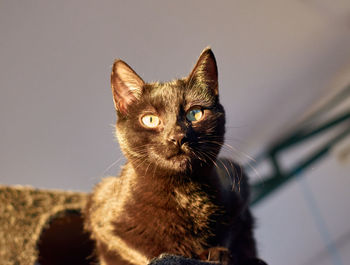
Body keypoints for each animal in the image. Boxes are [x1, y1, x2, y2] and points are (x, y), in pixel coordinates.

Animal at [84, 48, 266, 264]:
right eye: (150, 119)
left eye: (194, 114)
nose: (177, 136)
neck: (183, 192)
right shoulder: (104, 221)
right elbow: (145, 252)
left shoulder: (238, 192)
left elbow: (229, 233)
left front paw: (217, 253)